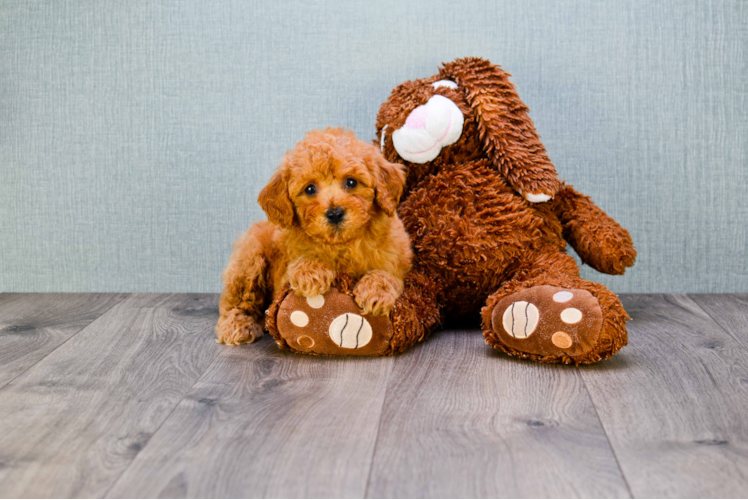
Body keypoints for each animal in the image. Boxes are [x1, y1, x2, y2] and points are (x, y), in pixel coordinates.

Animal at [216, 128, 412, 344]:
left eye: (351, 182)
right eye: (310, 189)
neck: (341, 244)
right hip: (249, 258)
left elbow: (387, 273)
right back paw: (238, 325)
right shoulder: (283, 274)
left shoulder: (396, 257)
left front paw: (376, 292)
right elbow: (302, 263)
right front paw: (310, 272)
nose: (335, 213)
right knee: (236, 301)